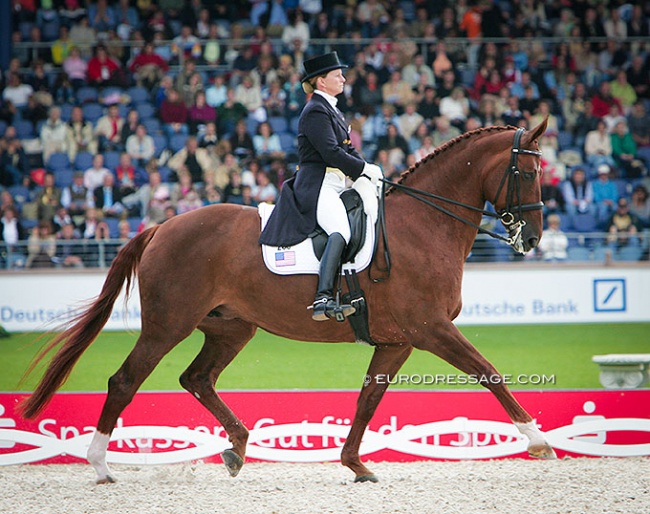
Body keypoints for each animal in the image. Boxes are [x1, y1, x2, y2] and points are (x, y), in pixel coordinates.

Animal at [20, 119, 552, 480]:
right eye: (527, 172)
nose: (533, 237)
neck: (425, 224)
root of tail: (161, 226)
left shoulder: (398, 341)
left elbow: (368, 399)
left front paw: (355, 464)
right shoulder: (431, 329)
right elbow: (488, 371)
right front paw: (538, 440)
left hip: (231, 327)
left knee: (197, 378)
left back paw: (236, 447)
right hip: (167, 325)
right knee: (125, 380)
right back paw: (100, 464)